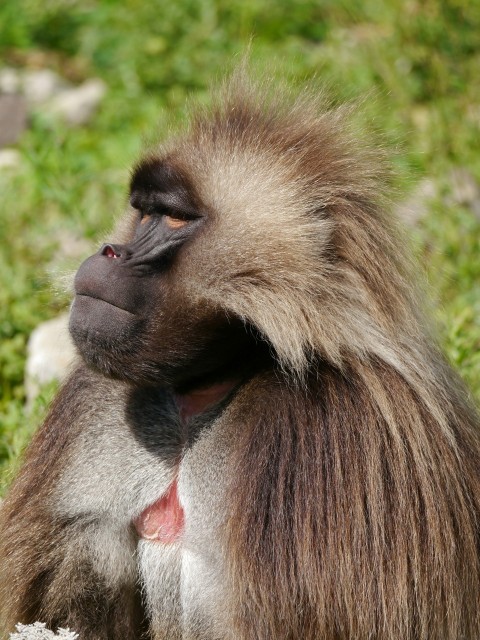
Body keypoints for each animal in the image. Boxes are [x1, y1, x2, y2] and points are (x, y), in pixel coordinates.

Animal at [1, 76, 480, 640]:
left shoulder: (333, 435)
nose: (108, 253)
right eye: (144, 211)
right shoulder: (98, 404)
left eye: (175, 218)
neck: (207, 390)